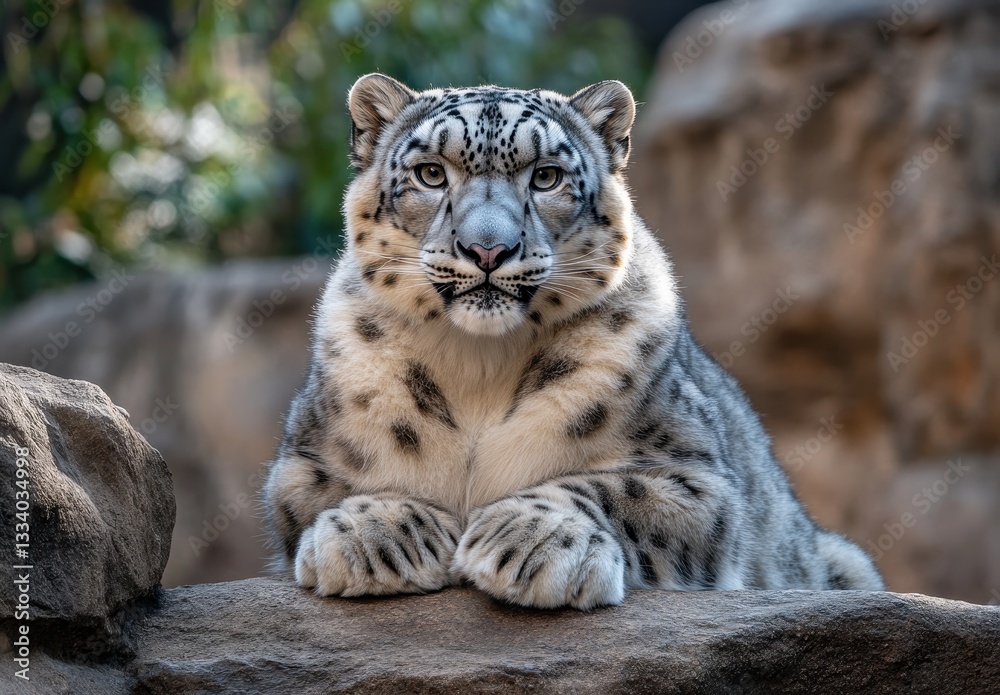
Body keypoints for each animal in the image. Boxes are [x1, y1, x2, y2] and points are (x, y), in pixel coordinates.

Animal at [262, 73, 884, 610]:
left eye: (546, 177)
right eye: (431, 173)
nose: (488, 250)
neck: (479, 367)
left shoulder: (696, 476)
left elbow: (614, 490)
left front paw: (531, 538)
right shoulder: (303, 463)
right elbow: (333, 491)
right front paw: (376, 528)